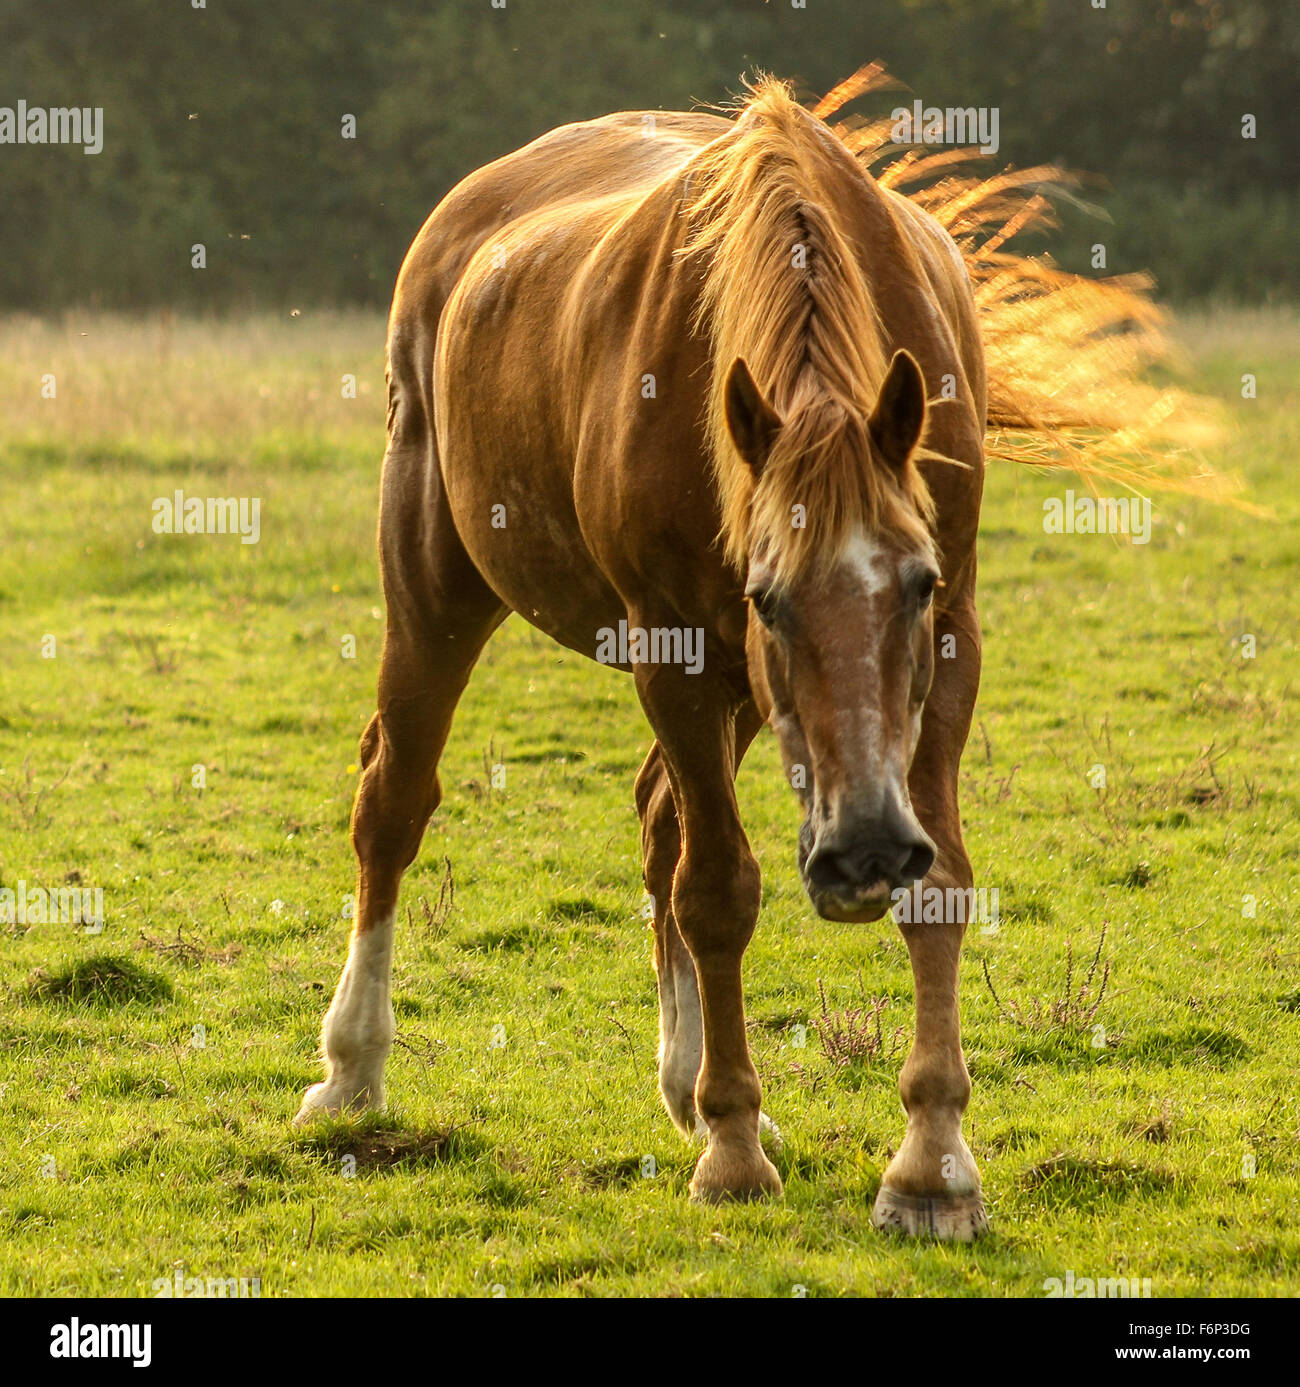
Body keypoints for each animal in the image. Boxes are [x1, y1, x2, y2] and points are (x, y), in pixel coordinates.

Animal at [295, 71, 1186, 1241]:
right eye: (770, 598)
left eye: (916, 586)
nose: (863, 851)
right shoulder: (676, 646)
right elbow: (717, 889)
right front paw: (730, 1152)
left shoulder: (950, 644)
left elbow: (939, 882)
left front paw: (931, 1162)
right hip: (437, 580)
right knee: (395, 799)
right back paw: (354, 1069)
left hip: (736, 696)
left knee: (656, 818)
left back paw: (685, 1084)